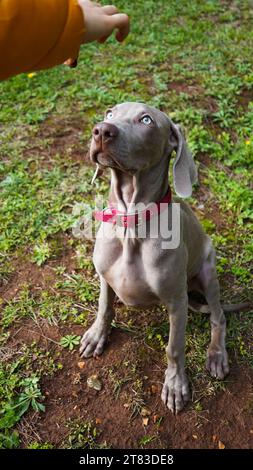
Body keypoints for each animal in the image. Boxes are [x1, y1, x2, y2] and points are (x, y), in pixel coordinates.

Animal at [80, 102, 247, 412]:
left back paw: (217, 355)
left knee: (218, 317)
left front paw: (175, 385)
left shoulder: (176, 302)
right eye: (110, 113)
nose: (101, 130)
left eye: (146, 120)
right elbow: (104, 307)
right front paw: (97, 336)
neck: (131, 223)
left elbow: (174, 348)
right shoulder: (104, 277)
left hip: (208, 272)